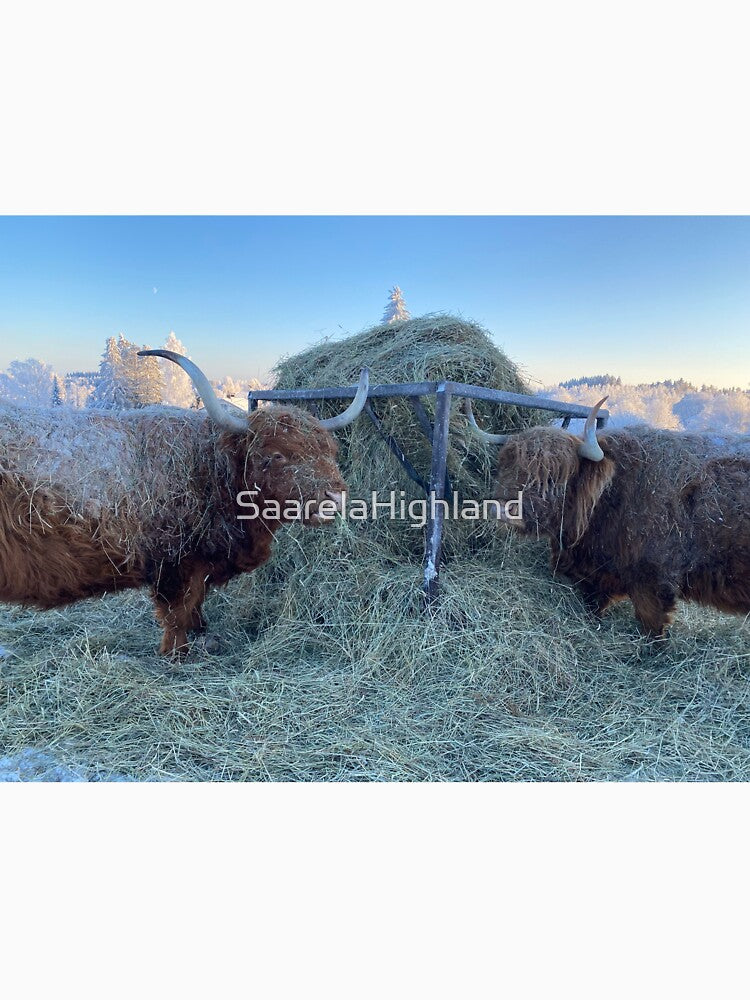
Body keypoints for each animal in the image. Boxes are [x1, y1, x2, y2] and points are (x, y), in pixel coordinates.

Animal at [0, 352, 368, 656]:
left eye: (330, 451)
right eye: (276, 455)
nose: (335, 496)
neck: (208, 469)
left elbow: (196, 603)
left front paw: (202, 631)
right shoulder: (173, 562)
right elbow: (178, 610)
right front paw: (176, 652)